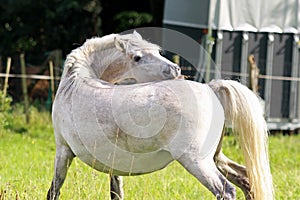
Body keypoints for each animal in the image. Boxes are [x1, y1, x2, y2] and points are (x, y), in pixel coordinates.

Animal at [47, 32, 274, 199]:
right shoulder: (113, 166)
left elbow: (54, 190)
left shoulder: (63, 151)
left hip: (197, 162)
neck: (75, 82)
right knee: (247, 180)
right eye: (137, 57)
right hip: (216, 158)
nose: (176, 68)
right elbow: (115, 193)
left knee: (226, 190)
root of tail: (211, 89)